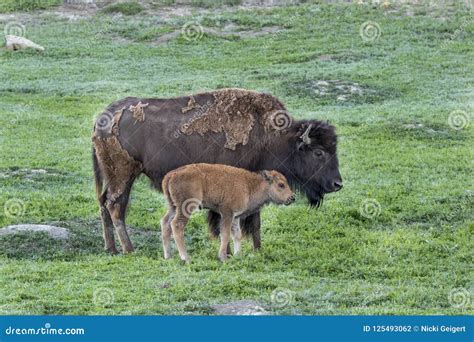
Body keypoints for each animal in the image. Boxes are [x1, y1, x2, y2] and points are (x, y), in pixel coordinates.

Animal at [161, 163, 294, 262]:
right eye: (281, 185)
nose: (292, 198)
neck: (249, 185)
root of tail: (171, 174)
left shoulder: (235, 216)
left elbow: (237, 234)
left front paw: (238, 254)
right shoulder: (227, 213)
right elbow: (225, 234)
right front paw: (223, 257)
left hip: (173, 207)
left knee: (165, 222)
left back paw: (168, 256)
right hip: (186, 207)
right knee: (177, 225)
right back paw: (186, 258)